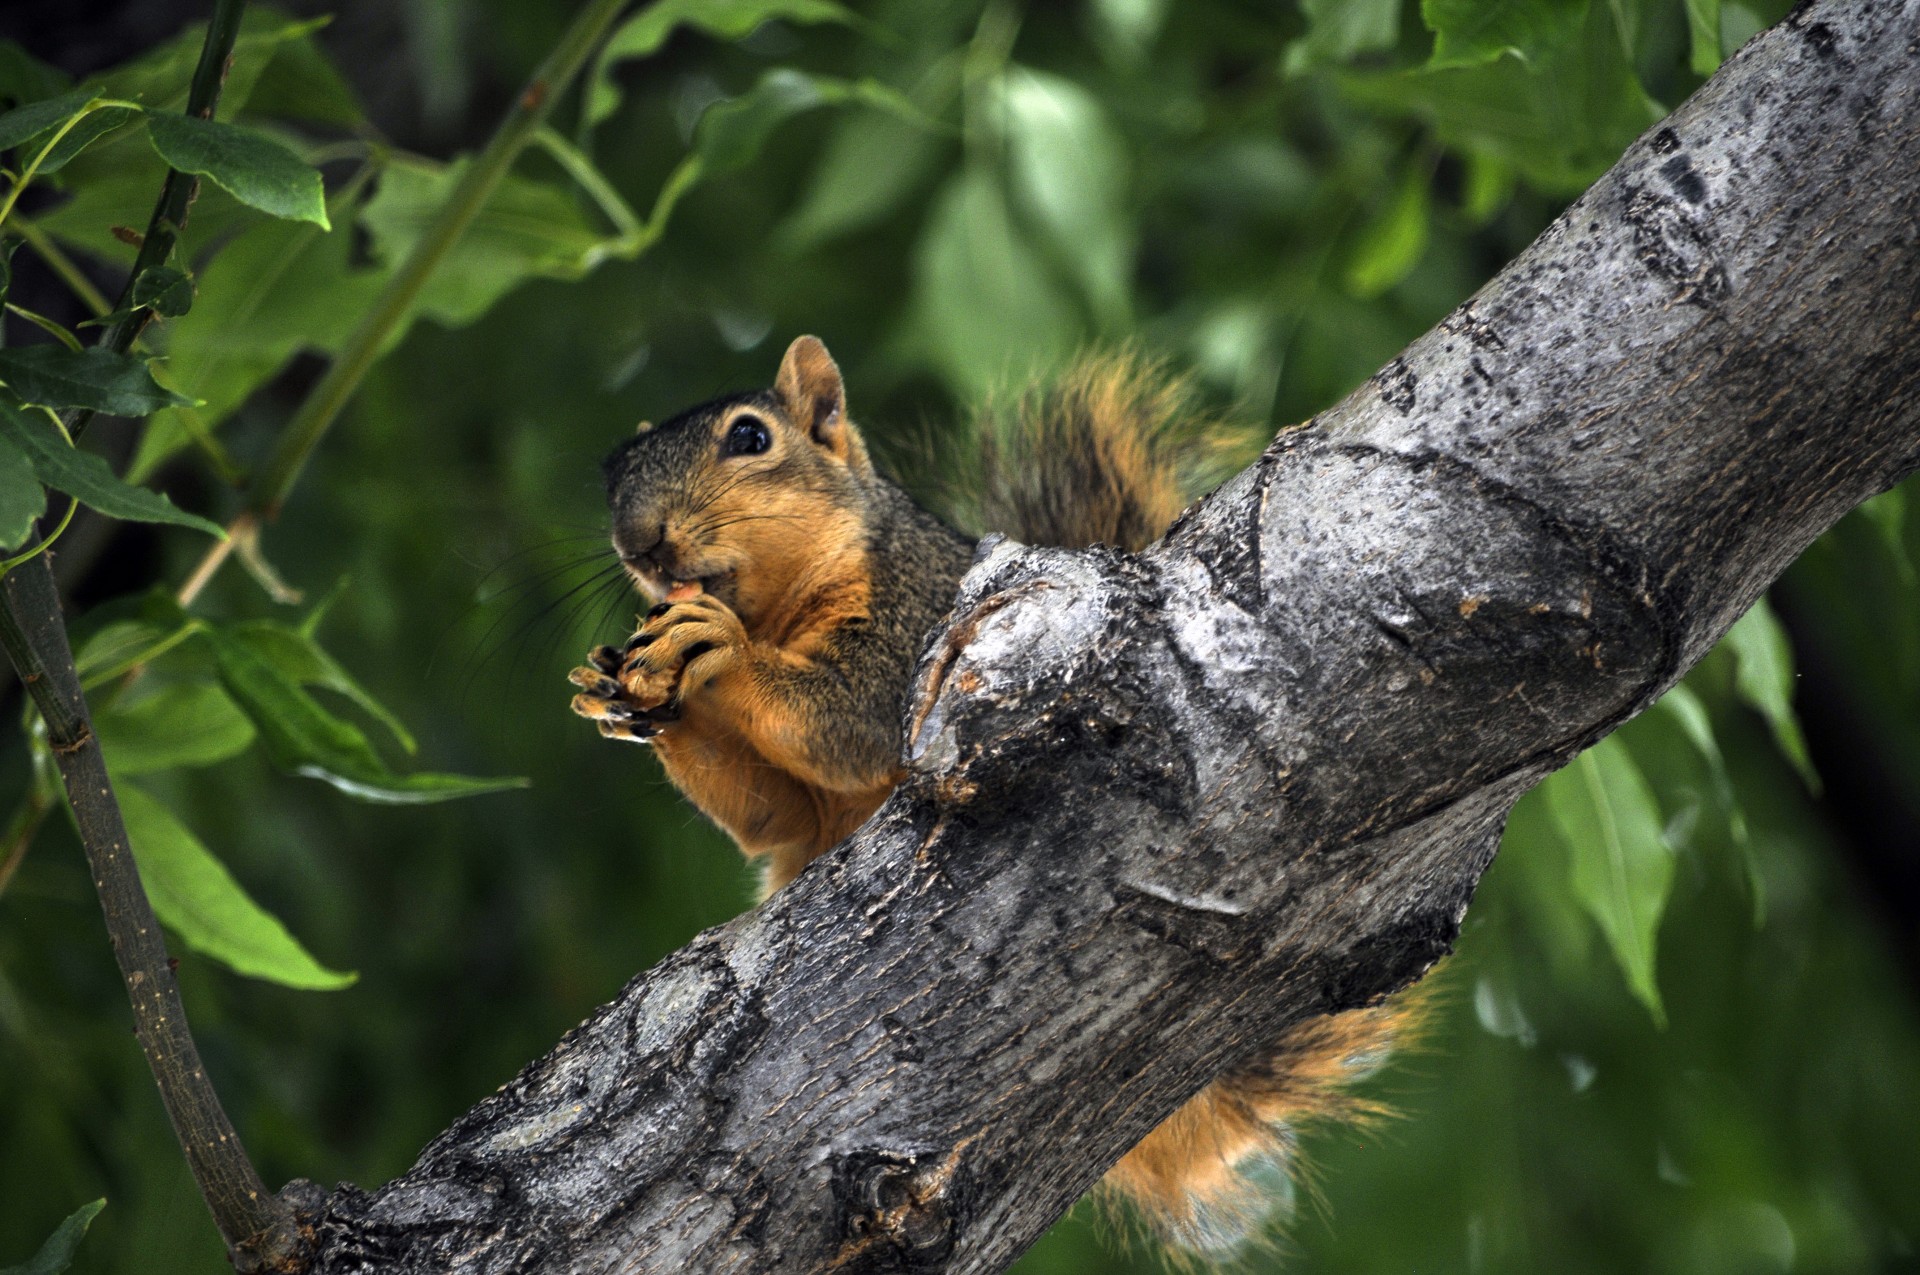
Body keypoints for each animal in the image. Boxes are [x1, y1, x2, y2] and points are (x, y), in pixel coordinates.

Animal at [560, 337, 1420, 1267]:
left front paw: (715, 645)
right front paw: (629, 692)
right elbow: (771, 814)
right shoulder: (789, 814)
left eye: (750, 437)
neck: (777, 609)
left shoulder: (912, 612)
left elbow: (846, 719)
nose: (640, 542)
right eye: (612, 472)